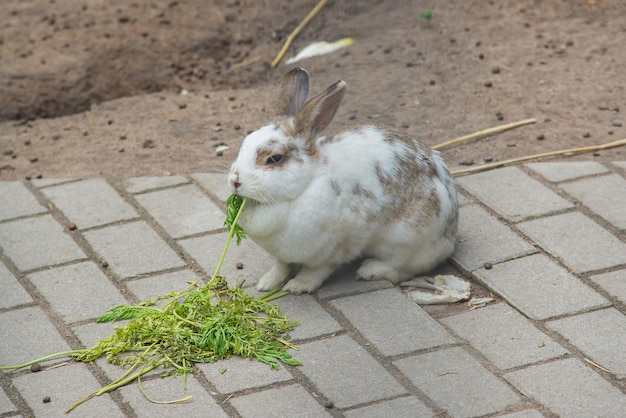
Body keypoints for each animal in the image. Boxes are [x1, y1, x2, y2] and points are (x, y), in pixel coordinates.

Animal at [227, 68, 456, 294]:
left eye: (274, 158)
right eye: (244, 143)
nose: (235, 180)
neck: (301, 189)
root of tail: (450, 233)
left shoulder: (336, 248)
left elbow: (316, 271)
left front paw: (298, 286)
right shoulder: (282, 253)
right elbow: (280, 266)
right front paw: (266, 283)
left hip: (406, 238)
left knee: (402, 268)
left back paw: (370, 270)